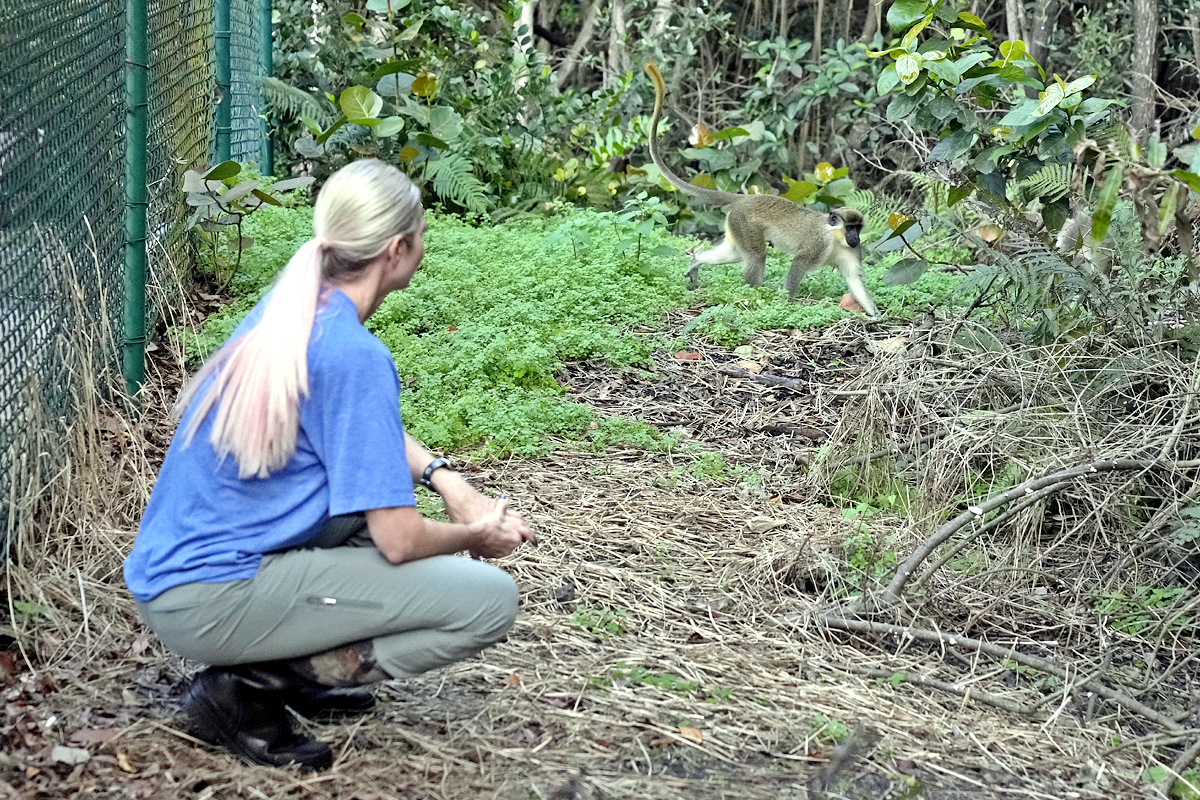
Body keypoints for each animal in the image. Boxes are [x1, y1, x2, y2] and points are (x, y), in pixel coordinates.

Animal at [648, 61, 883, 316]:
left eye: (857, 229)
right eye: (849, 228)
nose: (855, 238)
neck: (835, 238)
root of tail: (743, 199)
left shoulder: (851, 251)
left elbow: (854, 280)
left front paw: (875, 316)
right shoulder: (817, 245)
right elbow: (798, 264)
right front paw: (788, 303)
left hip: (735, 225)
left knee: (733, 254)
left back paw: (697, 260)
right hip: (743, 223)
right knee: (756, 256)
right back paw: (755, 295)